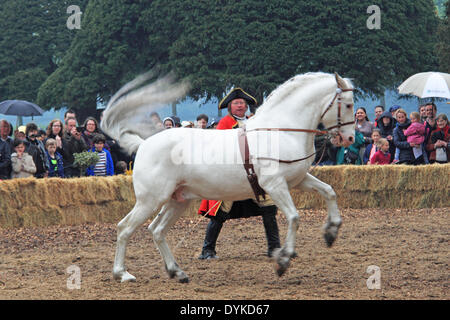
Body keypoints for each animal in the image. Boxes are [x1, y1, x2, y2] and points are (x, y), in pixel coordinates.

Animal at [101, 70, 356, 282]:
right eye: (349, 104)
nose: (349, 138)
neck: (281, 130)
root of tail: (143, 144)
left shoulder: (297, 180)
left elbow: (329, 192)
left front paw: (331, 232)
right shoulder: (275, 185)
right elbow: (294, 217)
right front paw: (283, 261)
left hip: (177, 200)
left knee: (156, 231)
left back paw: (177, 272)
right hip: (151, 200)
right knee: (124, 228)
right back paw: (122, 274)